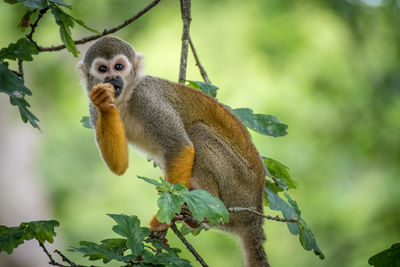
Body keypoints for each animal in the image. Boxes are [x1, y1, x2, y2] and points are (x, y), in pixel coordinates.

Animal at [78, 37, 268, 267]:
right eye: (103, 69)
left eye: (119, 67)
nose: (113, 78)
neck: (126, 99)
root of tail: (255, 217)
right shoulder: (92, 108)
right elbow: (119, 165)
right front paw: (105, 102)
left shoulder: (147, 99)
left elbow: (179, 147)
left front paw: (163, 219)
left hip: (239, 187)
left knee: (197, 133)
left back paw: (207, 207)